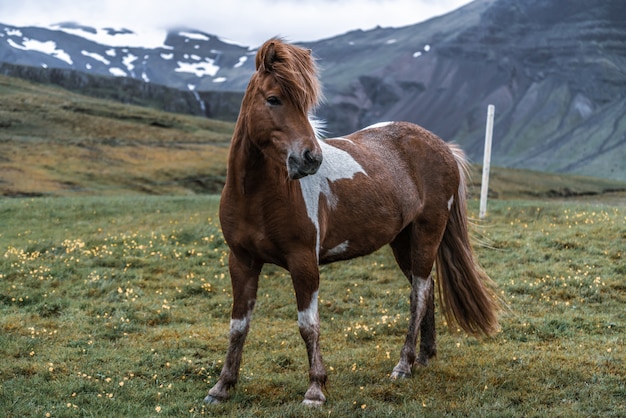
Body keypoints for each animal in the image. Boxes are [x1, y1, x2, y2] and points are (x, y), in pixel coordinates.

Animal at [205, 38, 498, 404]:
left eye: (306, 104)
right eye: (273, 99)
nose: (310, 158)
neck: (258, 195)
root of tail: (442, 147)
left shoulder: (304, 262)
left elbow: (308, 325)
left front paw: (315, 389)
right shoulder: (241, 261)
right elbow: (238, 326)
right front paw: (222, 386)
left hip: (427, 233)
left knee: (418, 295)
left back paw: (403, 365)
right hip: (403, 241)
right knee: (427, 289)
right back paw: (424, 357)